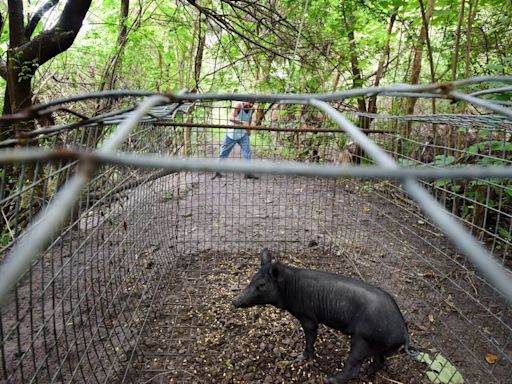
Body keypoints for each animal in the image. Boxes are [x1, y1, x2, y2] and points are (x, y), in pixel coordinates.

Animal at [232, 249, 416, 384]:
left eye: (261, 285)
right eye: (252, 279)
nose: (234, 301)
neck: (290, 288)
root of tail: (404, 331)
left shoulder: (308, 317)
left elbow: (310, 336)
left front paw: (298, 357)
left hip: (364, 339)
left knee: (353, 366)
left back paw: (330, 379)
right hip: (380, 344)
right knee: (380, 361)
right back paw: (367, 373)